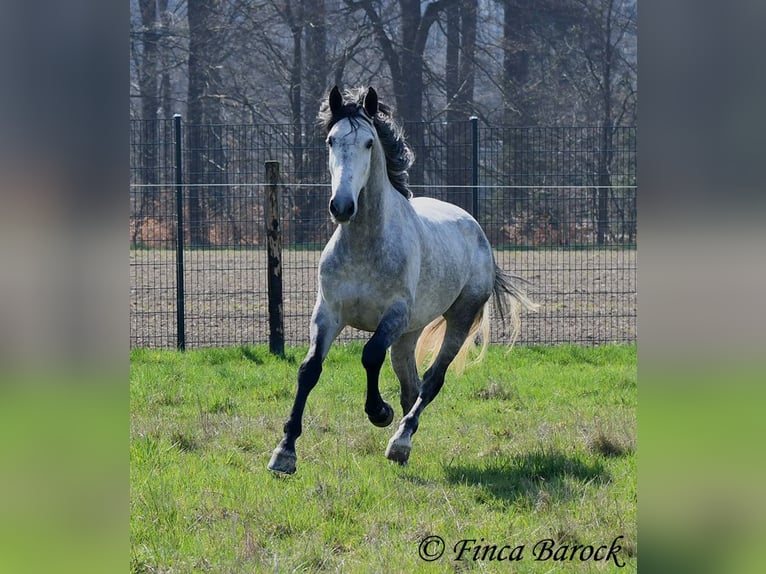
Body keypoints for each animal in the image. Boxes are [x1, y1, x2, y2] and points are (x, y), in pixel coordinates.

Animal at [268, 86, 537, 475]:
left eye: (368, 143)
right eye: (331, 140)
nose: (342, 206)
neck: (365, 245)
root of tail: (474, 227)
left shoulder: (392, 316)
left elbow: (370, 355)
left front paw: (379, 412)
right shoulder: (327, 313)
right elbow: (309, 370)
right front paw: (285, 451)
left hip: (456, 319)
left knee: (431, 381)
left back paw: (399, 441)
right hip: (409, 334)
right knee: (411, 383)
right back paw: (404, 442)